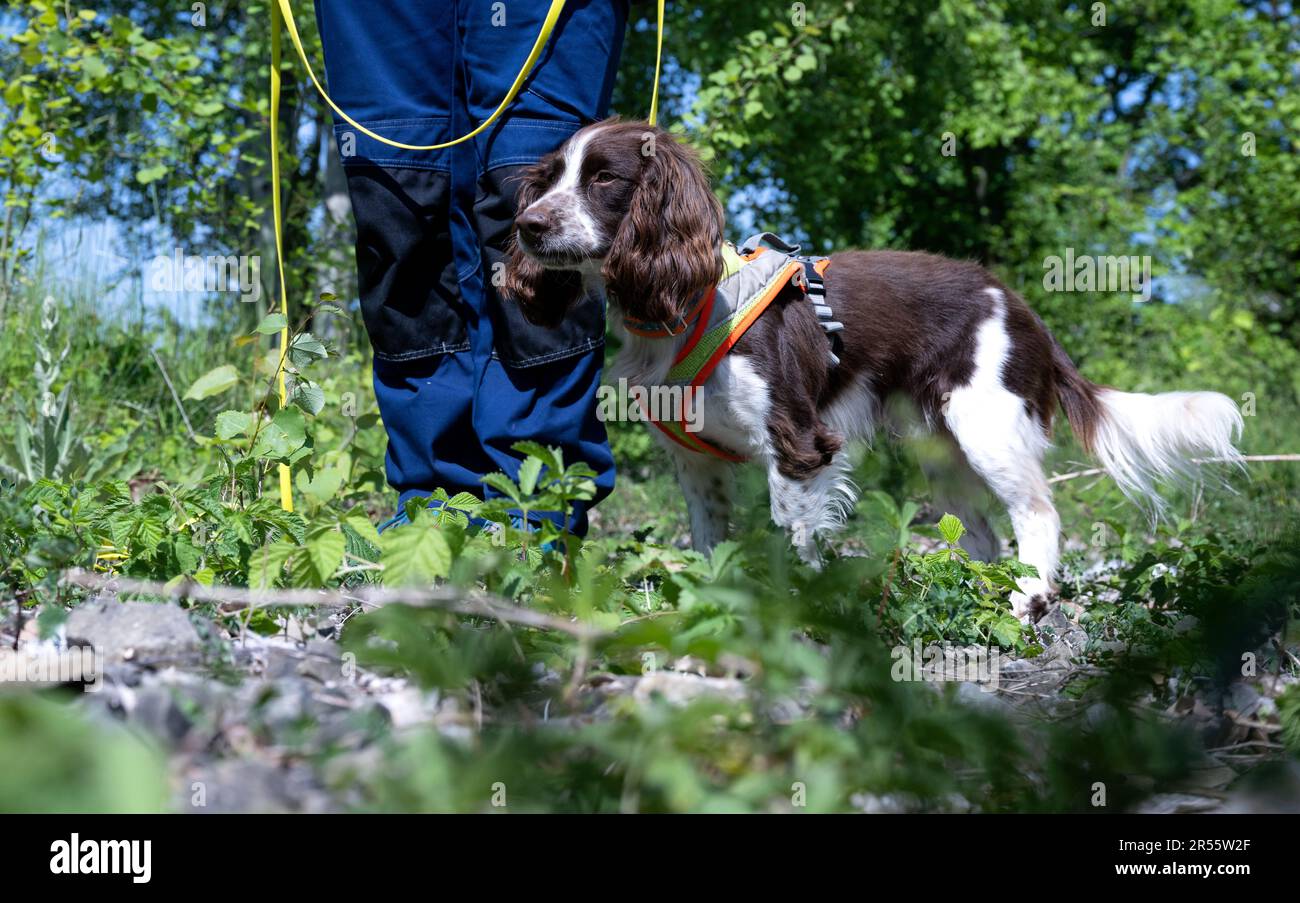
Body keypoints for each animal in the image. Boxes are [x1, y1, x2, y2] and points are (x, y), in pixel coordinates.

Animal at [496, 118, 1237, 621]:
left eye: (604, 179)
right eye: (549, 178)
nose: (528, 225)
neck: (687, 307)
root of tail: (1024, 310)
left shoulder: (799, 442)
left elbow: (795, 534)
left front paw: (801, 612)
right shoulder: (697, 462)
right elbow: (711, 542)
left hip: (987, 428)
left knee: (1037, 513)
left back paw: (1027, 597)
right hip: (941, 450)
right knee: (983, 535)